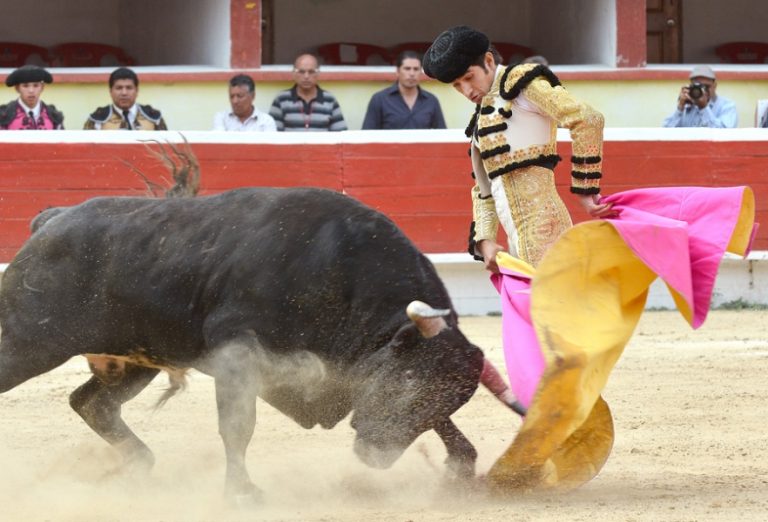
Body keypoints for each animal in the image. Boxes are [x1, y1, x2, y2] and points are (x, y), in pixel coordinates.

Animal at [0, 188, 510, 500]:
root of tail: (52, 220)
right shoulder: (238, 353)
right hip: (27, 340)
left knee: (93, 403)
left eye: (443, 394)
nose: (374, 455)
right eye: (404, 379)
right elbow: (237, 426)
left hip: (135, 357)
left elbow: (443, 422)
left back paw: (140, 464)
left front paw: (461, 465)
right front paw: (243, 493)